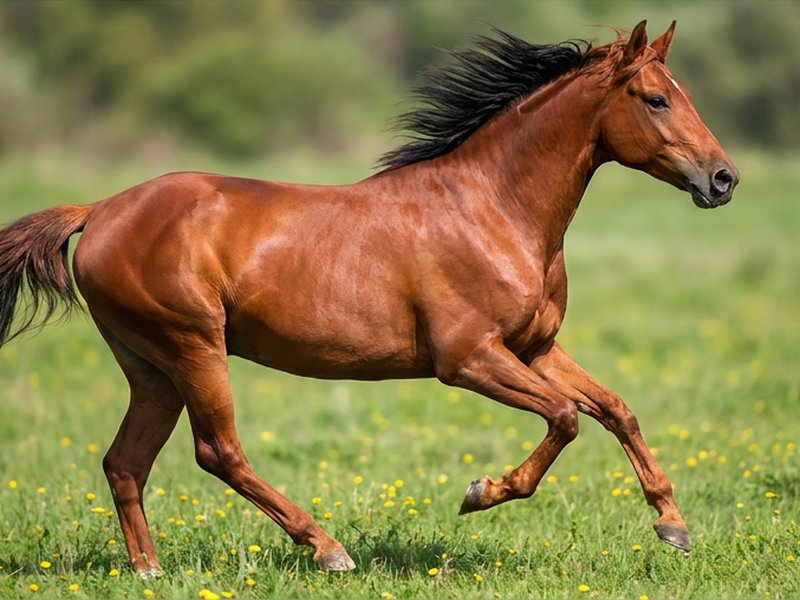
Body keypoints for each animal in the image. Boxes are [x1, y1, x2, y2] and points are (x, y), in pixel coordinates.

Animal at [0, 21, 738, 576]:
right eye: (655, 98)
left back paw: (149, 571)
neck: (494, 207)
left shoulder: (534, 347)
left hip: (151, 368)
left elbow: (616, 409)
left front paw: (673, 526)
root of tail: (99, 210)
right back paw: (327, 549)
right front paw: (481, 493)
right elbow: (565, 417)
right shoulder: (467, 359)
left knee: (125, 462)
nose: (724, 179)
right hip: (193, 348)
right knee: (217, 452)